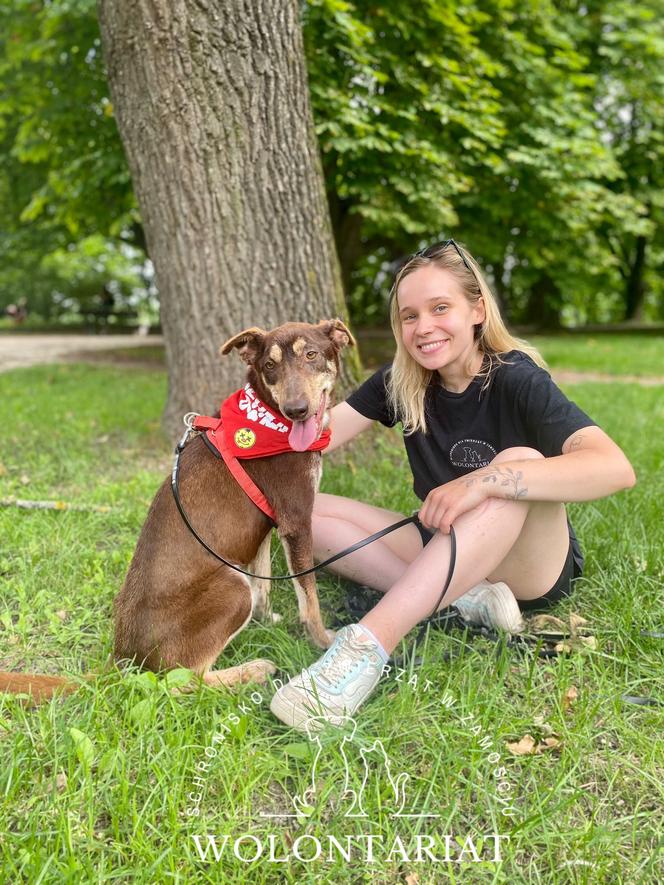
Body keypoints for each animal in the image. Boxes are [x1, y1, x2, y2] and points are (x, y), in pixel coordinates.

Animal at [0, 318, 356, 696]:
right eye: (269, 365)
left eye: (311, 354)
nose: (296, 410)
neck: (268, 419)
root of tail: (122, 660)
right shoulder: (296, 522)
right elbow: (309, 599)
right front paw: (324, 641)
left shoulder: (265, 526)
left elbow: (265, 584)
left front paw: (268, 620)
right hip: (232, 587)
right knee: (182, 682)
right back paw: (252, 671)